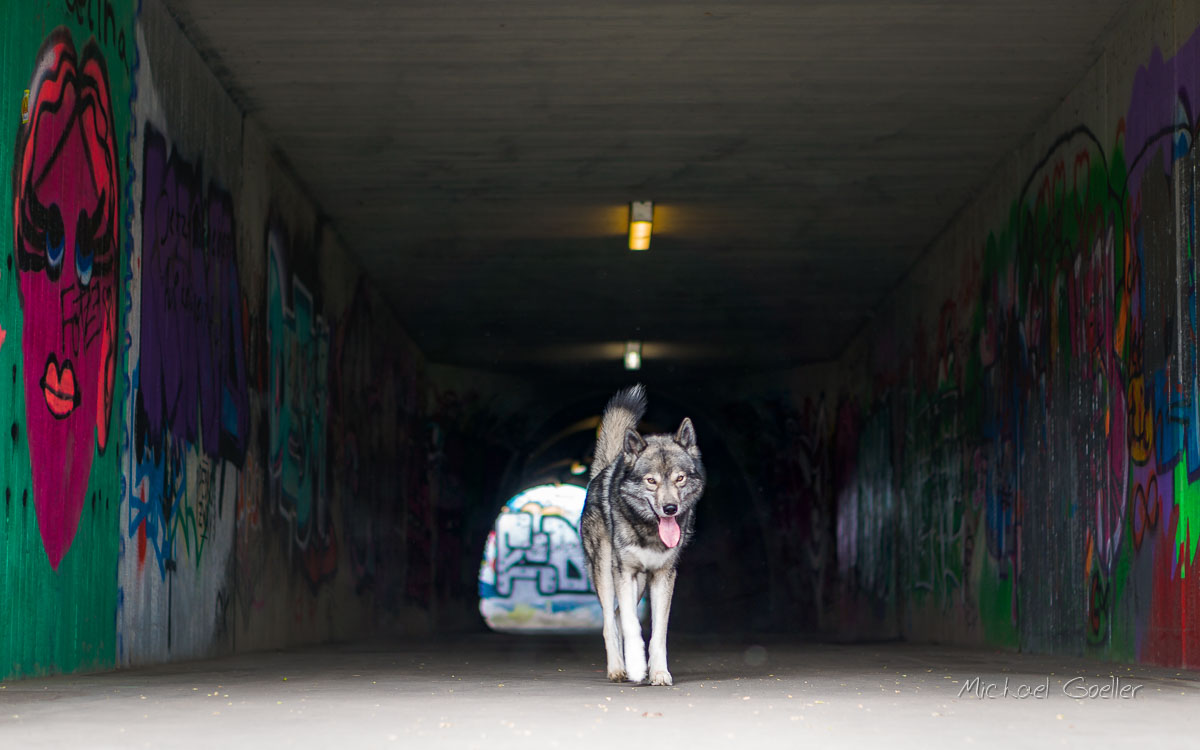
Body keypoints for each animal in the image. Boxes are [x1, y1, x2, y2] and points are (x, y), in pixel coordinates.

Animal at [580, 386, 700, 686]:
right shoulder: (624, 572)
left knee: (618, 614)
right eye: (651, 481)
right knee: (610, 622)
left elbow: (658, 633)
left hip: (641, 585)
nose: (670, 508)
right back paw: (617, 668)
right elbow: (632, 626)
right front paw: (636, 666)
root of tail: (606, 469)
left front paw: (658, 672)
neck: (648, 531)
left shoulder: (663, 576)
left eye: (680, 478)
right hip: (605, 572)